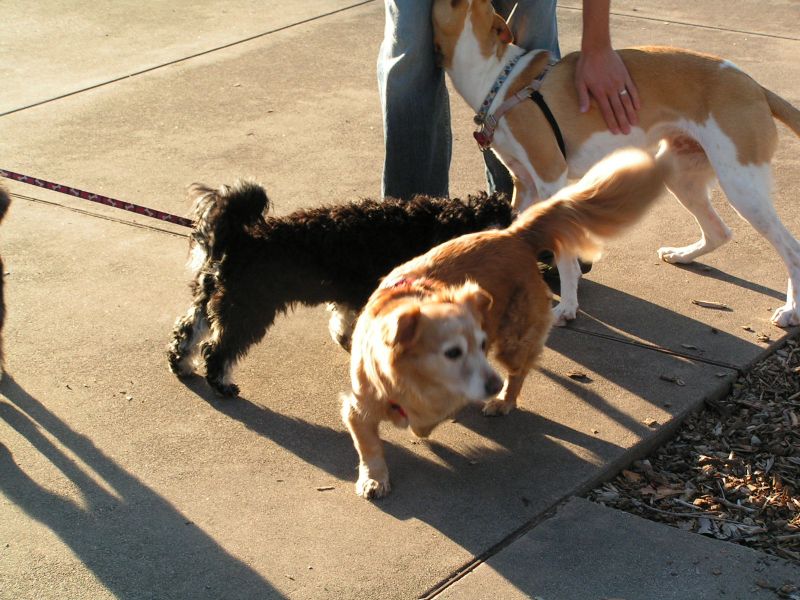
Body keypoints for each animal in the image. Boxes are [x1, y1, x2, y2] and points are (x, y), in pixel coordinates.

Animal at [167, 183, 512, 398]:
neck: (433, 228)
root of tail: (238, 237)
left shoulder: (354, 294)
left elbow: (345, 318)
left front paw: (348, 339)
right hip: (247, 308)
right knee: (217, 349)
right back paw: (222, 384)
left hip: (213, 297)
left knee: (188, 330)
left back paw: (181, 364)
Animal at [342, 148, 668, 500]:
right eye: (453, 353)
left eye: (482, 345)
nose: (492, 385)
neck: (414, 383)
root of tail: (514, 235)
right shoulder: (358, 407)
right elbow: (369, 446)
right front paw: (374, 477)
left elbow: (425, 421)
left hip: (513, 342)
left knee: (519, 372)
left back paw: (504, 401)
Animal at [434, 0, 800, 328]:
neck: (500, 81)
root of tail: (756, 87)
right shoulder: (523, 186)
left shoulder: (550, 178)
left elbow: (565, 258)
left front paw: (567, 307)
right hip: (682, 177)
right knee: (719, 231)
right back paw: (682, 254)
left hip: (742, 186)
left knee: (791, 249)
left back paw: (791, 311)